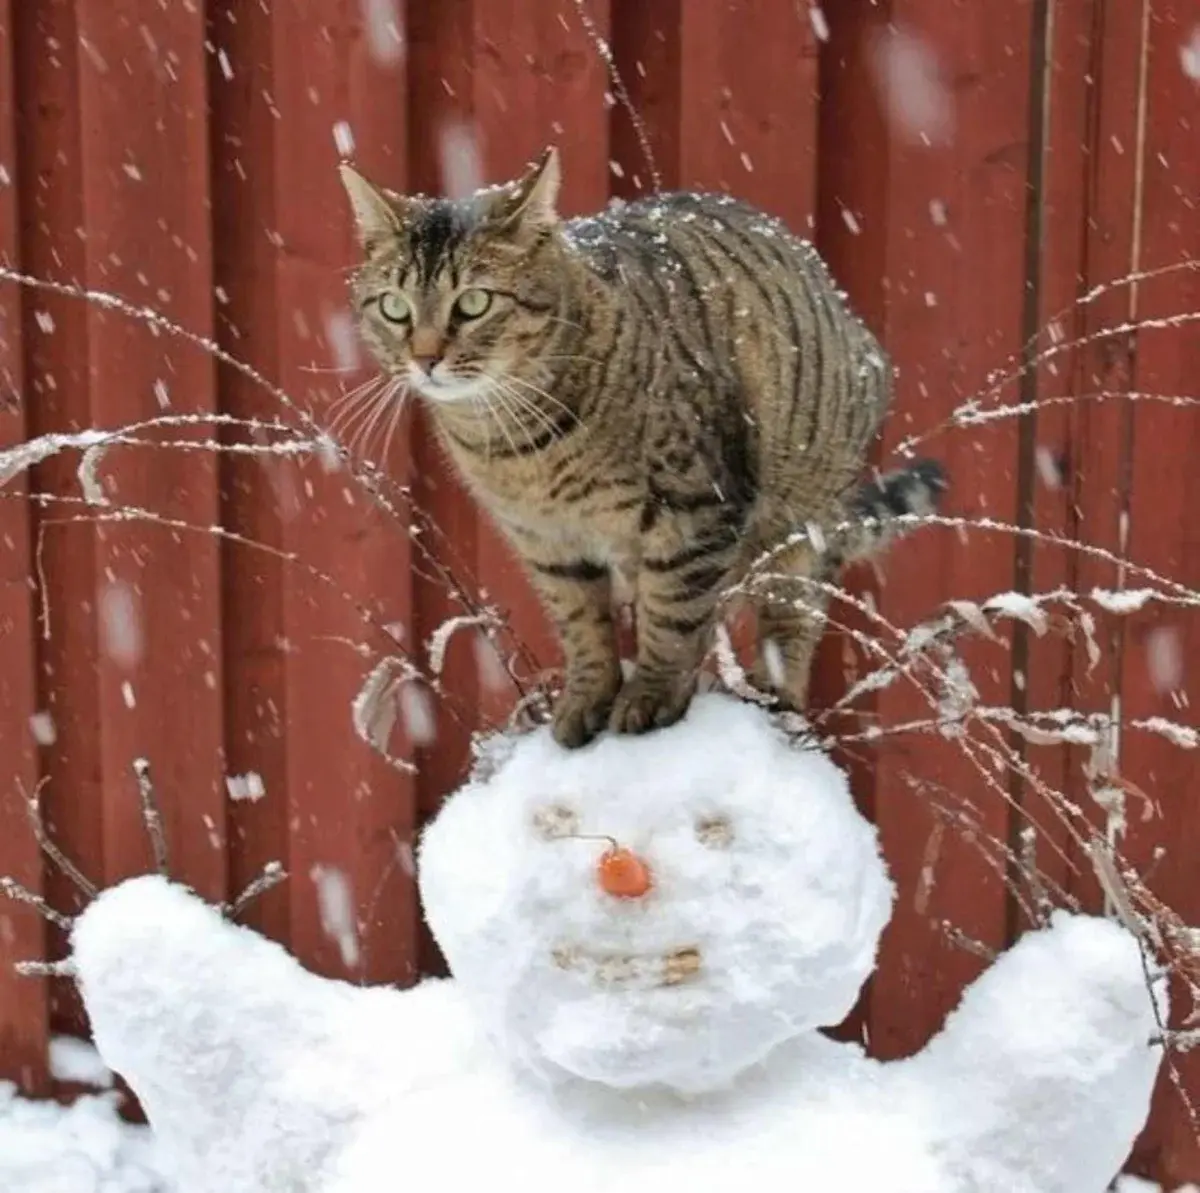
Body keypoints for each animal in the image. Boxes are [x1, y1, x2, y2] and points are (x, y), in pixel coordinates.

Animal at [338, 146, 945, 744]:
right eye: (394, 307)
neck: (519, 443)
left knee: (790, 618)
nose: (424, 358)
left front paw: (651, 696)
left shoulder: (696, 507)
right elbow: (581, 624)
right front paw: (588, 698)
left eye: (474, 303)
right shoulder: (545, 542)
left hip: (802, 523)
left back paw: (774, 694)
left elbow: (673, 614)